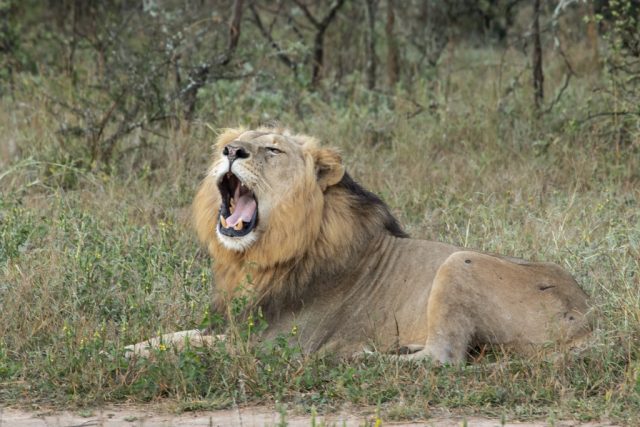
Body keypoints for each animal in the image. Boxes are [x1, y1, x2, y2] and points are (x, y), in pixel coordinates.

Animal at [127, 126, 591, 363]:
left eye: (272, 149)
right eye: (236, 138)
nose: (230, 150)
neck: (258, 258)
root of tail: (587, 314)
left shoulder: (278, 342)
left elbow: (195, 345)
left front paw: (132, 355)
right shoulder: (237, 323)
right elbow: (180, 334)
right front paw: (130, 345)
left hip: (460, 262)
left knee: (443, 358)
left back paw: (361, 356)